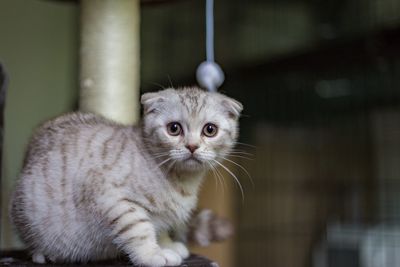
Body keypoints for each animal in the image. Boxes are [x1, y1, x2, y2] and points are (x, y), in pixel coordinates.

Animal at [9, 87, 242, 267]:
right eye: (174, 128)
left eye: (210, 130)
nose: (192, 146)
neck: (181, 180)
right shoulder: (110, 197)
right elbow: (138, 228)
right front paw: (153, 254)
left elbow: (158, 228)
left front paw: (165, 244)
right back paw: (43, 254)